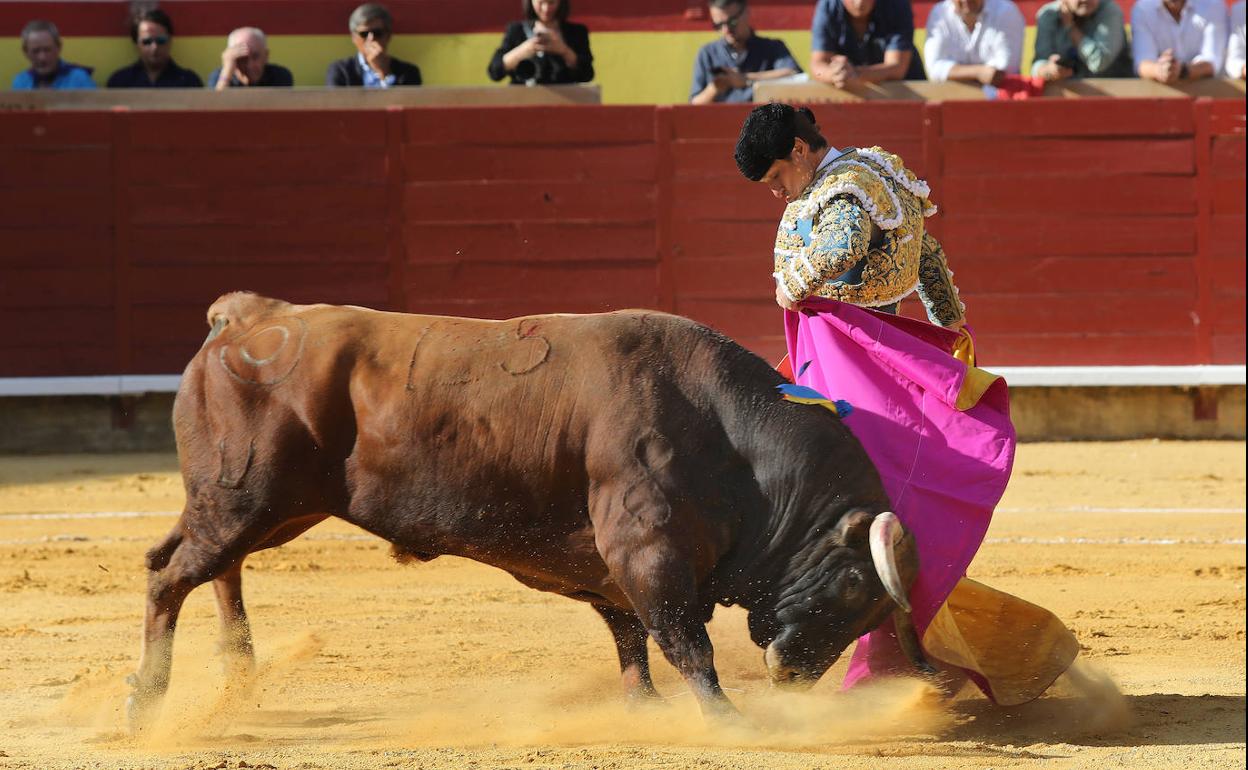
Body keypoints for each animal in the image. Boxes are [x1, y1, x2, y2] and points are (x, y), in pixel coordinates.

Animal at [126, 290, 928, 723]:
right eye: (852, 586)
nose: (791, 673)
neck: (729, 436)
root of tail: (248, 318)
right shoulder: (647, 547)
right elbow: (681, 639)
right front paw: (728, 718)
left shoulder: (610, 561)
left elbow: (629, 634)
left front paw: (644, 706)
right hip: (246, 496)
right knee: (170, 573)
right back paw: (147, 700)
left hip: (269, 507)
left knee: (209, 567)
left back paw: (237, 671)